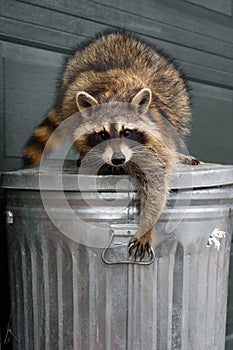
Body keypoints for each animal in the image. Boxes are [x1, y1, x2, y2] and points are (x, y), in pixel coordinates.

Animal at [23, 29, 198, 260]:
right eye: (103, 134)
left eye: (127, 132)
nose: (117, 159)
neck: (115, 91)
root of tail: (117, 35)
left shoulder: (155, 143)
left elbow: (156, 185)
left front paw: (146, 226)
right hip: (71, 89)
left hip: (175, 92)